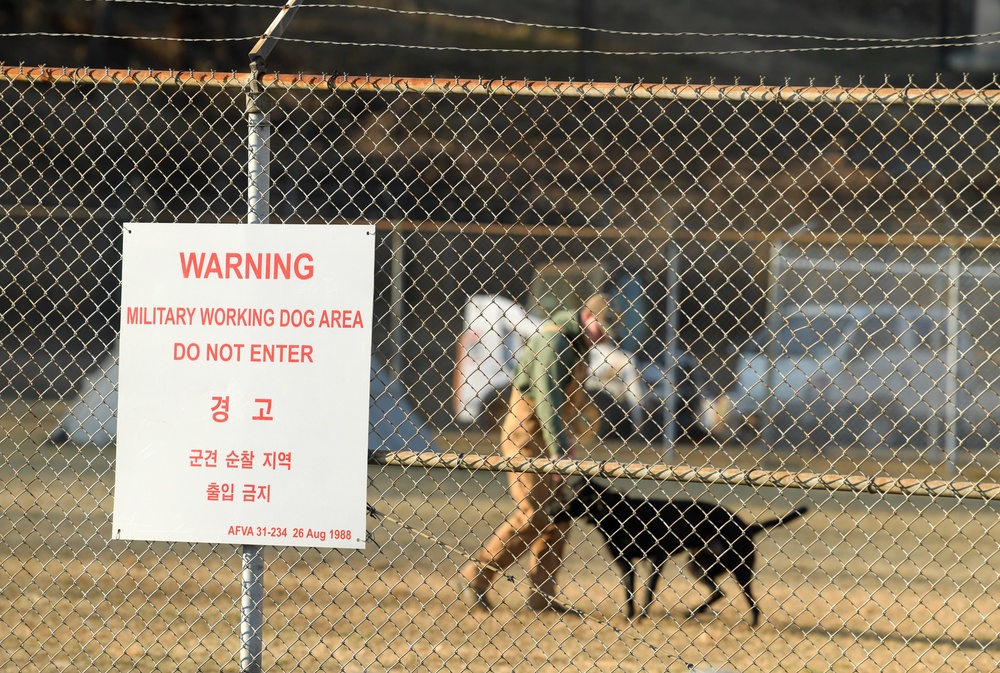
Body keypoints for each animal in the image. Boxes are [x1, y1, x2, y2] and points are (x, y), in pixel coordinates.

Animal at [560, 478, 808, 624]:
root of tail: (746, 526)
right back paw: (692, 613)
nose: (552, 511)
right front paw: (630, 616)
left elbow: (648, 591)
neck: (620, 513)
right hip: (700, 565)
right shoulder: (625, 563)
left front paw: (642, 616)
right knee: (720, 592)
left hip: (738, 571)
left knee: (751, 603)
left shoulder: (657, 558)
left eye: (569, 497)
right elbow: (629, 591)